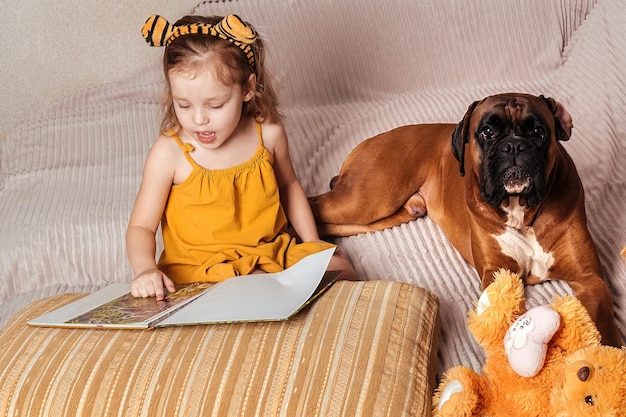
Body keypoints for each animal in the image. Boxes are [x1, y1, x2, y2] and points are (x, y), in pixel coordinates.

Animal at [310, 92, 620, 346]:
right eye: (487, 132)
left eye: (538, 131)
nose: (514, 146)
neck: (522, 212)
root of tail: (374, 138)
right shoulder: (497, 273)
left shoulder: (590, 279)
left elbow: (605, 328)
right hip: (368, 198)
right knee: (314, 204)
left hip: (388, 213)